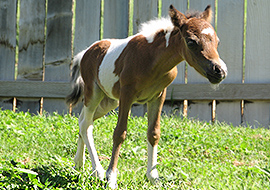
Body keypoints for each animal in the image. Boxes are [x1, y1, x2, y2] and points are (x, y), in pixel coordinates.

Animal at [66, 4, 227, 189]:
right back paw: (97, 170)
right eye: (191, 42)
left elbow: (153, 133)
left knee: (83, 121)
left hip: (109, 101)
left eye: (217, 41)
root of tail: (86, 52)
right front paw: (111, 177)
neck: (152, 60)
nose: (220, 71)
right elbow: (119, 133)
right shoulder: (127, 94)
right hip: (94, 92)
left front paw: (153, 176)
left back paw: (79, 164)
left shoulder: (158, 96)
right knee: (86, 124)